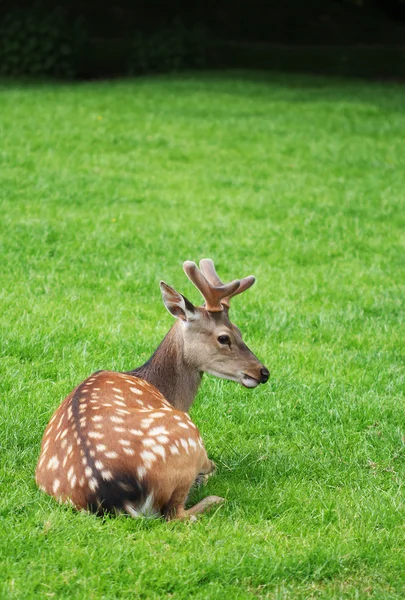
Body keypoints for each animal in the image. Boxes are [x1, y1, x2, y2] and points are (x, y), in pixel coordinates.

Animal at [35, 258, 268, 520]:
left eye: (239, 330)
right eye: (224, 338)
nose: (263, 372)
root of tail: (114, 496)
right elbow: (214, 466)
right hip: (187, 435)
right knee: (177, 515)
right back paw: (214, 498)